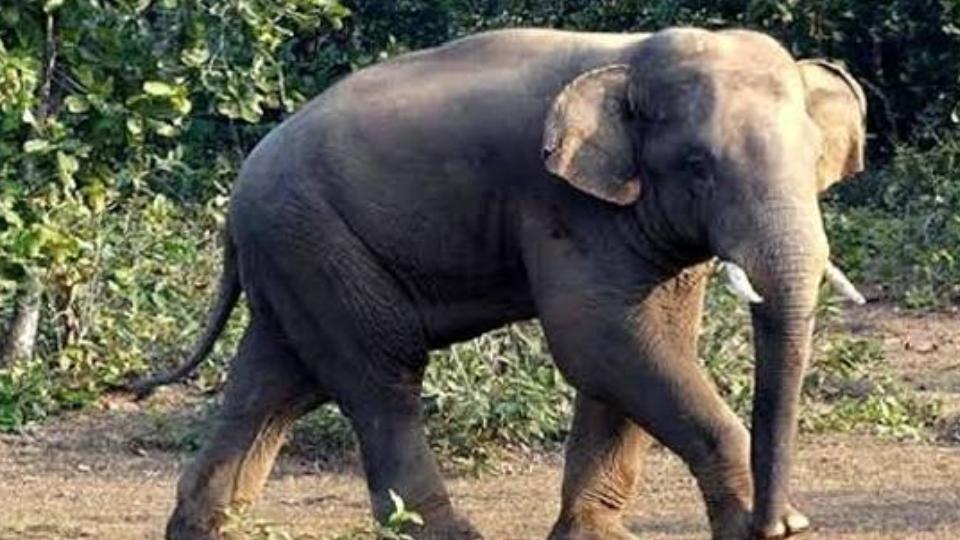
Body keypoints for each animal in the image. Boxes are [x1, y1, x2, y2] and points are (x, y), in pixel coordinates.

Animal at [141, 26, 868, 540]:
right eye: (698, 165)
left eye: (814, 158)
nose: (779, 521)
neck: (631, 60)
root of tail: (238, 196)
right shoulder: (562, 203)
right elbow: (602, 342)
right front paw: (765, 528)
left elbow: (634, 349)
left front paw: (596, 538)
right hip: (317, 245)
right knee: (380, 377)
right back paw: (450, 534)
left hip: (295, 253)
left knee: (275, 384)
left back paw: (201, 528)